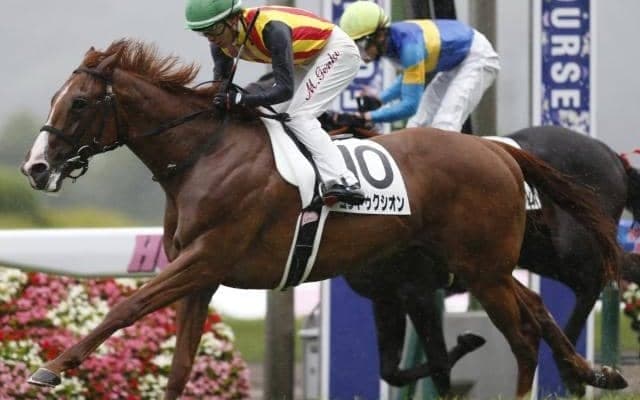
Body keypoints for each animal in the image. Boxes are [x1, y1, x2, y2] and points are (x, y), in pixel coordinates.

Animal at [341, 125, 640, 396]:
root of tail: (612, 156)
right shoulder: (385, 296)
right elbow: (391, 371)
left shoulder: (417, 291)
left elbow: (438, 364)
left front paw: (466, 345)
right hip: (539, 256)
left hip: (567, 250)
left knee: (592, 282)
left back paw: (574, 372)